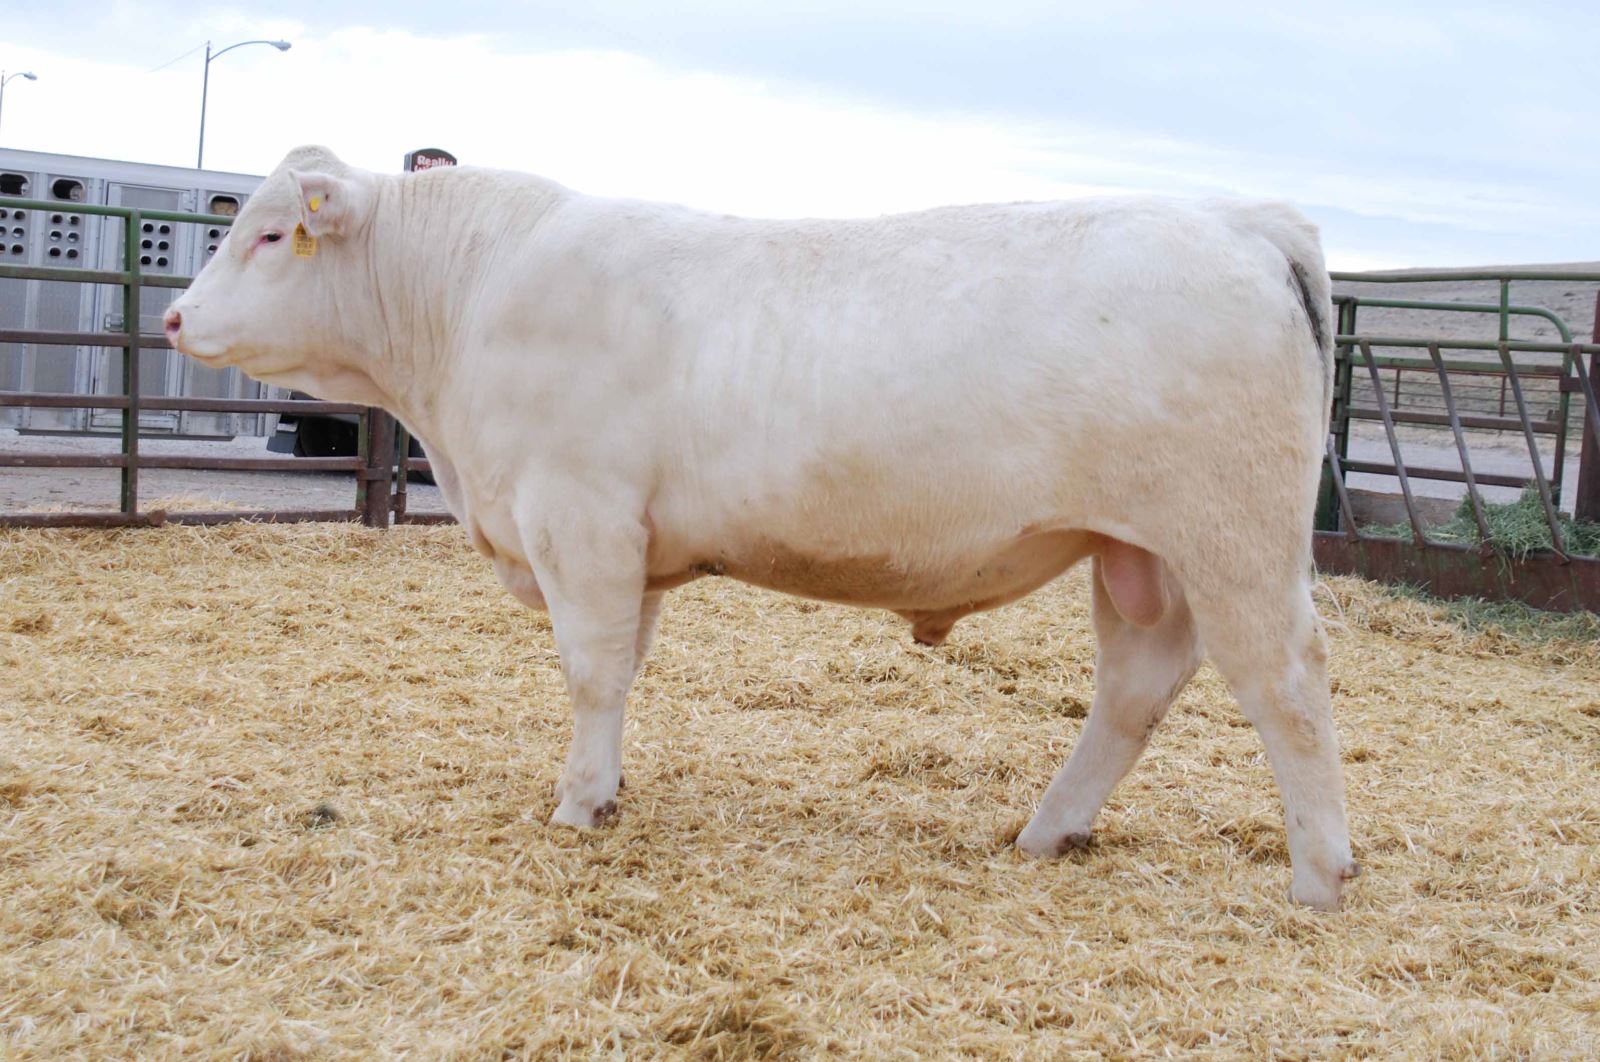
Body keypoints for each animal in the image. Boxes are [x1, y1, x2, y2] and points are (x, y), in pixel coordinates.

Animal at [165, 145, 1359, 909]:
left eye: (268, 234)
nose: (174, 316)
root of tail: (1241, 218)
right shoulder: (627, 544)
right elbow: (624, 668)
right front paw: (608, 791)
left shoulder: (577, 516)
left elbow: (590, 671)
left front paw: (576, 805)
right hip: (1139, 555)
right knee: (1135, 686)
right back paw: (1047, 830)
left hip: (1234, 540)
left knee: (1289, 687)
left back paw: (1319, 878)